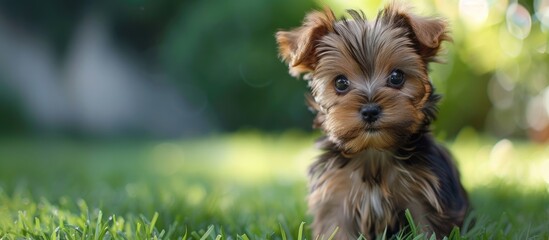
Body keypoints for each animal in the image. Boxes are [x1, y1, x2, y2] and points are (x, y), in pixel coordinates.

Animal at [276, 2, 468, 240]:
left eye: (396, 77)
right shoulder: (335, 196)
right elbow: (336, 229)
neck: (373, 152)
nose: (369, 111)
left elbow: (426, 228)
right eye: (340, 83)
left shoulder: (424, 195)